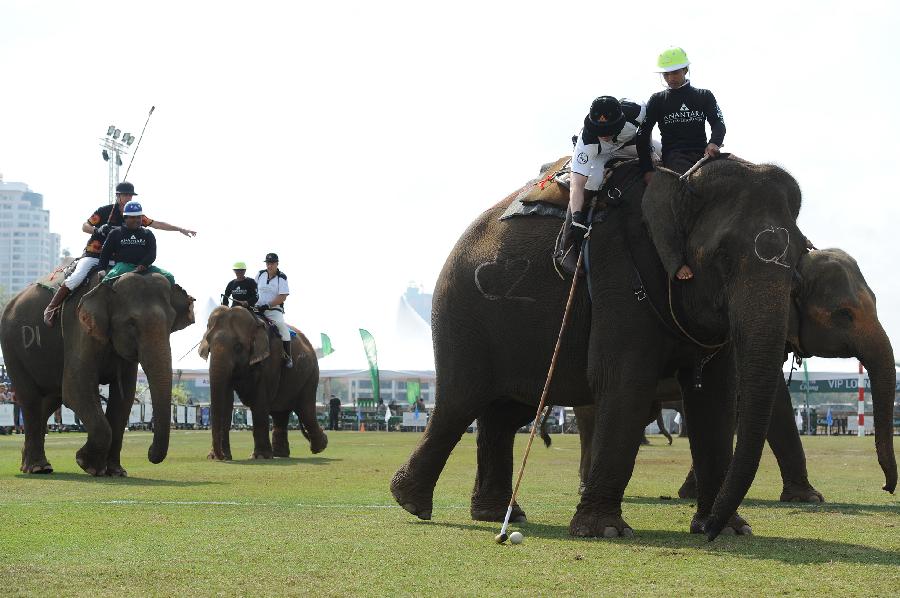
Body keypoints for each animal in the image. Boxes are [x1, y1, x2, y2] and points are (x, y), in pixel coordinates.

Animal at [0, 274, 195, 478]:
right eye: (131, 323)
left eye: (171, 323)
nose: (149, 453)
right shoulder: (78, 326)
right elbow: (76, 389)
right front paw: (87, 464)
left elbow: (124, 399)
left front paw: (117, 472)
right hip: (11, 347)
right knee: (30, 400)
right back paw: (37, 468)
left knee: (48, 401)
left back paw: (31, 464)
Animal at [197, 308, 326, 462]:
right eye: (208, 344)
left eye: (238, 347)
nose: (220, 457)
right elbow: (226, 400)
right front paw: (217, 457)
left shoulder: (272, 358)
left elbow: (260, 401)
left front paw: (260, 457)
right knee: (280, 413)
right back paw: (280, 454)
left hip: (310, 375)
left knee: (305, 410)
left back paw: (320, 447)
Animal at [390, 157, 896, 540]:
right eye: (844, 314)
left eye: (794, 265)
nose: (889, 488)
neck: (678, 188)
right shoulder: (617, 272)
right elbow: (626, 382)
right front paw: (605, 532)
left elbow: (715, 398)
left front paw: (729, 528)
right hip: (461, 313)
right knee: (461, 402)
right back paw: (414, 504)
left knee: (504, 412)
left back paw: (498, 515)